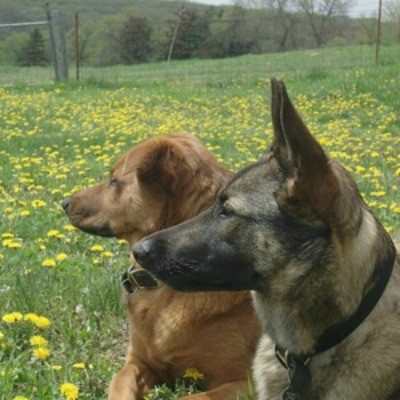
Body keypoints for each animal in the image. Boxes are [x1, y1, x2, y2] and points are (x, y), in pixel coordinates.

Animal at [62, 133, 260, 398]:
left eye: (114, 181)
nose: (64, 203)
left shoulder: (245, 382)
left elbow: (191, 397)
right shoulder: (138, 362)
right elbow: (119, 383)